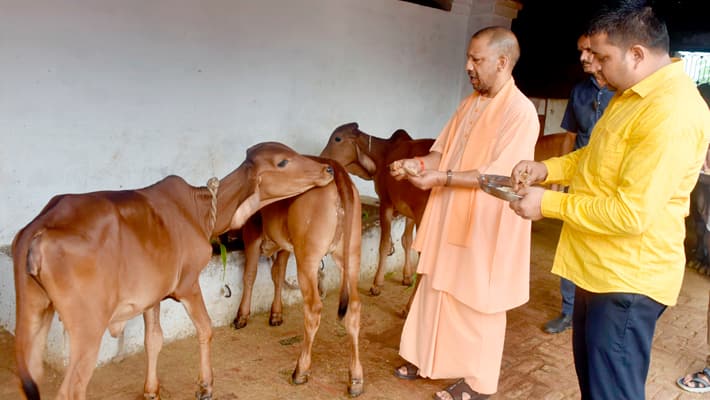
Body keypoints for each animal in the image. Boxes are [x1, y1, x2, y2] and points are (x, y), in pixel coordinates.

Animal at [11, 143, 334, 400]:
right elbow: (205, 328)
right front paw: (206, 386)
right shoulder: (188, 284)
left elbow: (153, 340)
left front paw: (151, 390)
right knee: (72, 389)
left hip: (35, 313)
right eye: (283, 162)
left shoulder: (153, 295)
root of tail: (37, 228)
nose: (328, 168)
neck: (199, 212)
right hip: (87, 326)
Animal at [232, 156, 368, 396]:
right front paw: (276, 314)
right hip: (351, 254)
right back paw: (355, 379)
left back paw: (301, 370)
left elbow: (250, 274)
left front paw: (242, 316)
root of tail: (338, 170)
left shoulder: (253, 233)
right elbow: (278, 274)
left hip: (308, 258)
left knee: (313, 308)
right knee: (354, 307)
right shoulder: (286, 243)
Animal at [318, 122, 434, 296]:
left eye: (337, 138)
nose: (321, 160)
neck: (382, 154)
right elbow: (406, 241)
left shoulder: (386, 203)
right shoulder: (409, 212)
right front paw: (407, 277)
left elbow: (384, 244)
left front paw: (376, 284)